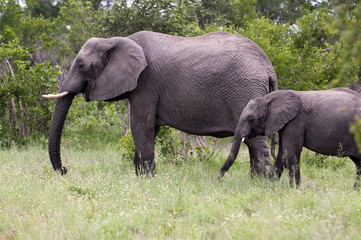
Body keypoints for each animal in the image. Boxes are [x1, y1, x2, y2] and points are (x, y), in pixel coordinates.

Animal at [43, 30, 278, 176]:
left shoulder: (145, 83)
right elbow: (149, 129)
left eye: (81, 65)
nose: (65, 170)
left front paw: (147, 179)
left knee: (256, 142)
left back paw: (264, 184)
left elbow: (141, 126)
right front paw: (139, 177)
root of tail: (269, 67)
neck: (115, 40)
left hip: (245, 91)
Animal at [219, 88, 360, 188]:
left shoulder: (295, 121)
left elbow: (290, 152)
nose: (219, 178)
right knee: (358, 162)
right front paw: (270, 186)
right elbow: (282, 154)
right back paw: (355, 190)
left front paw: (294, 189)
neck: (270, 98)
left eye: (251, 119)